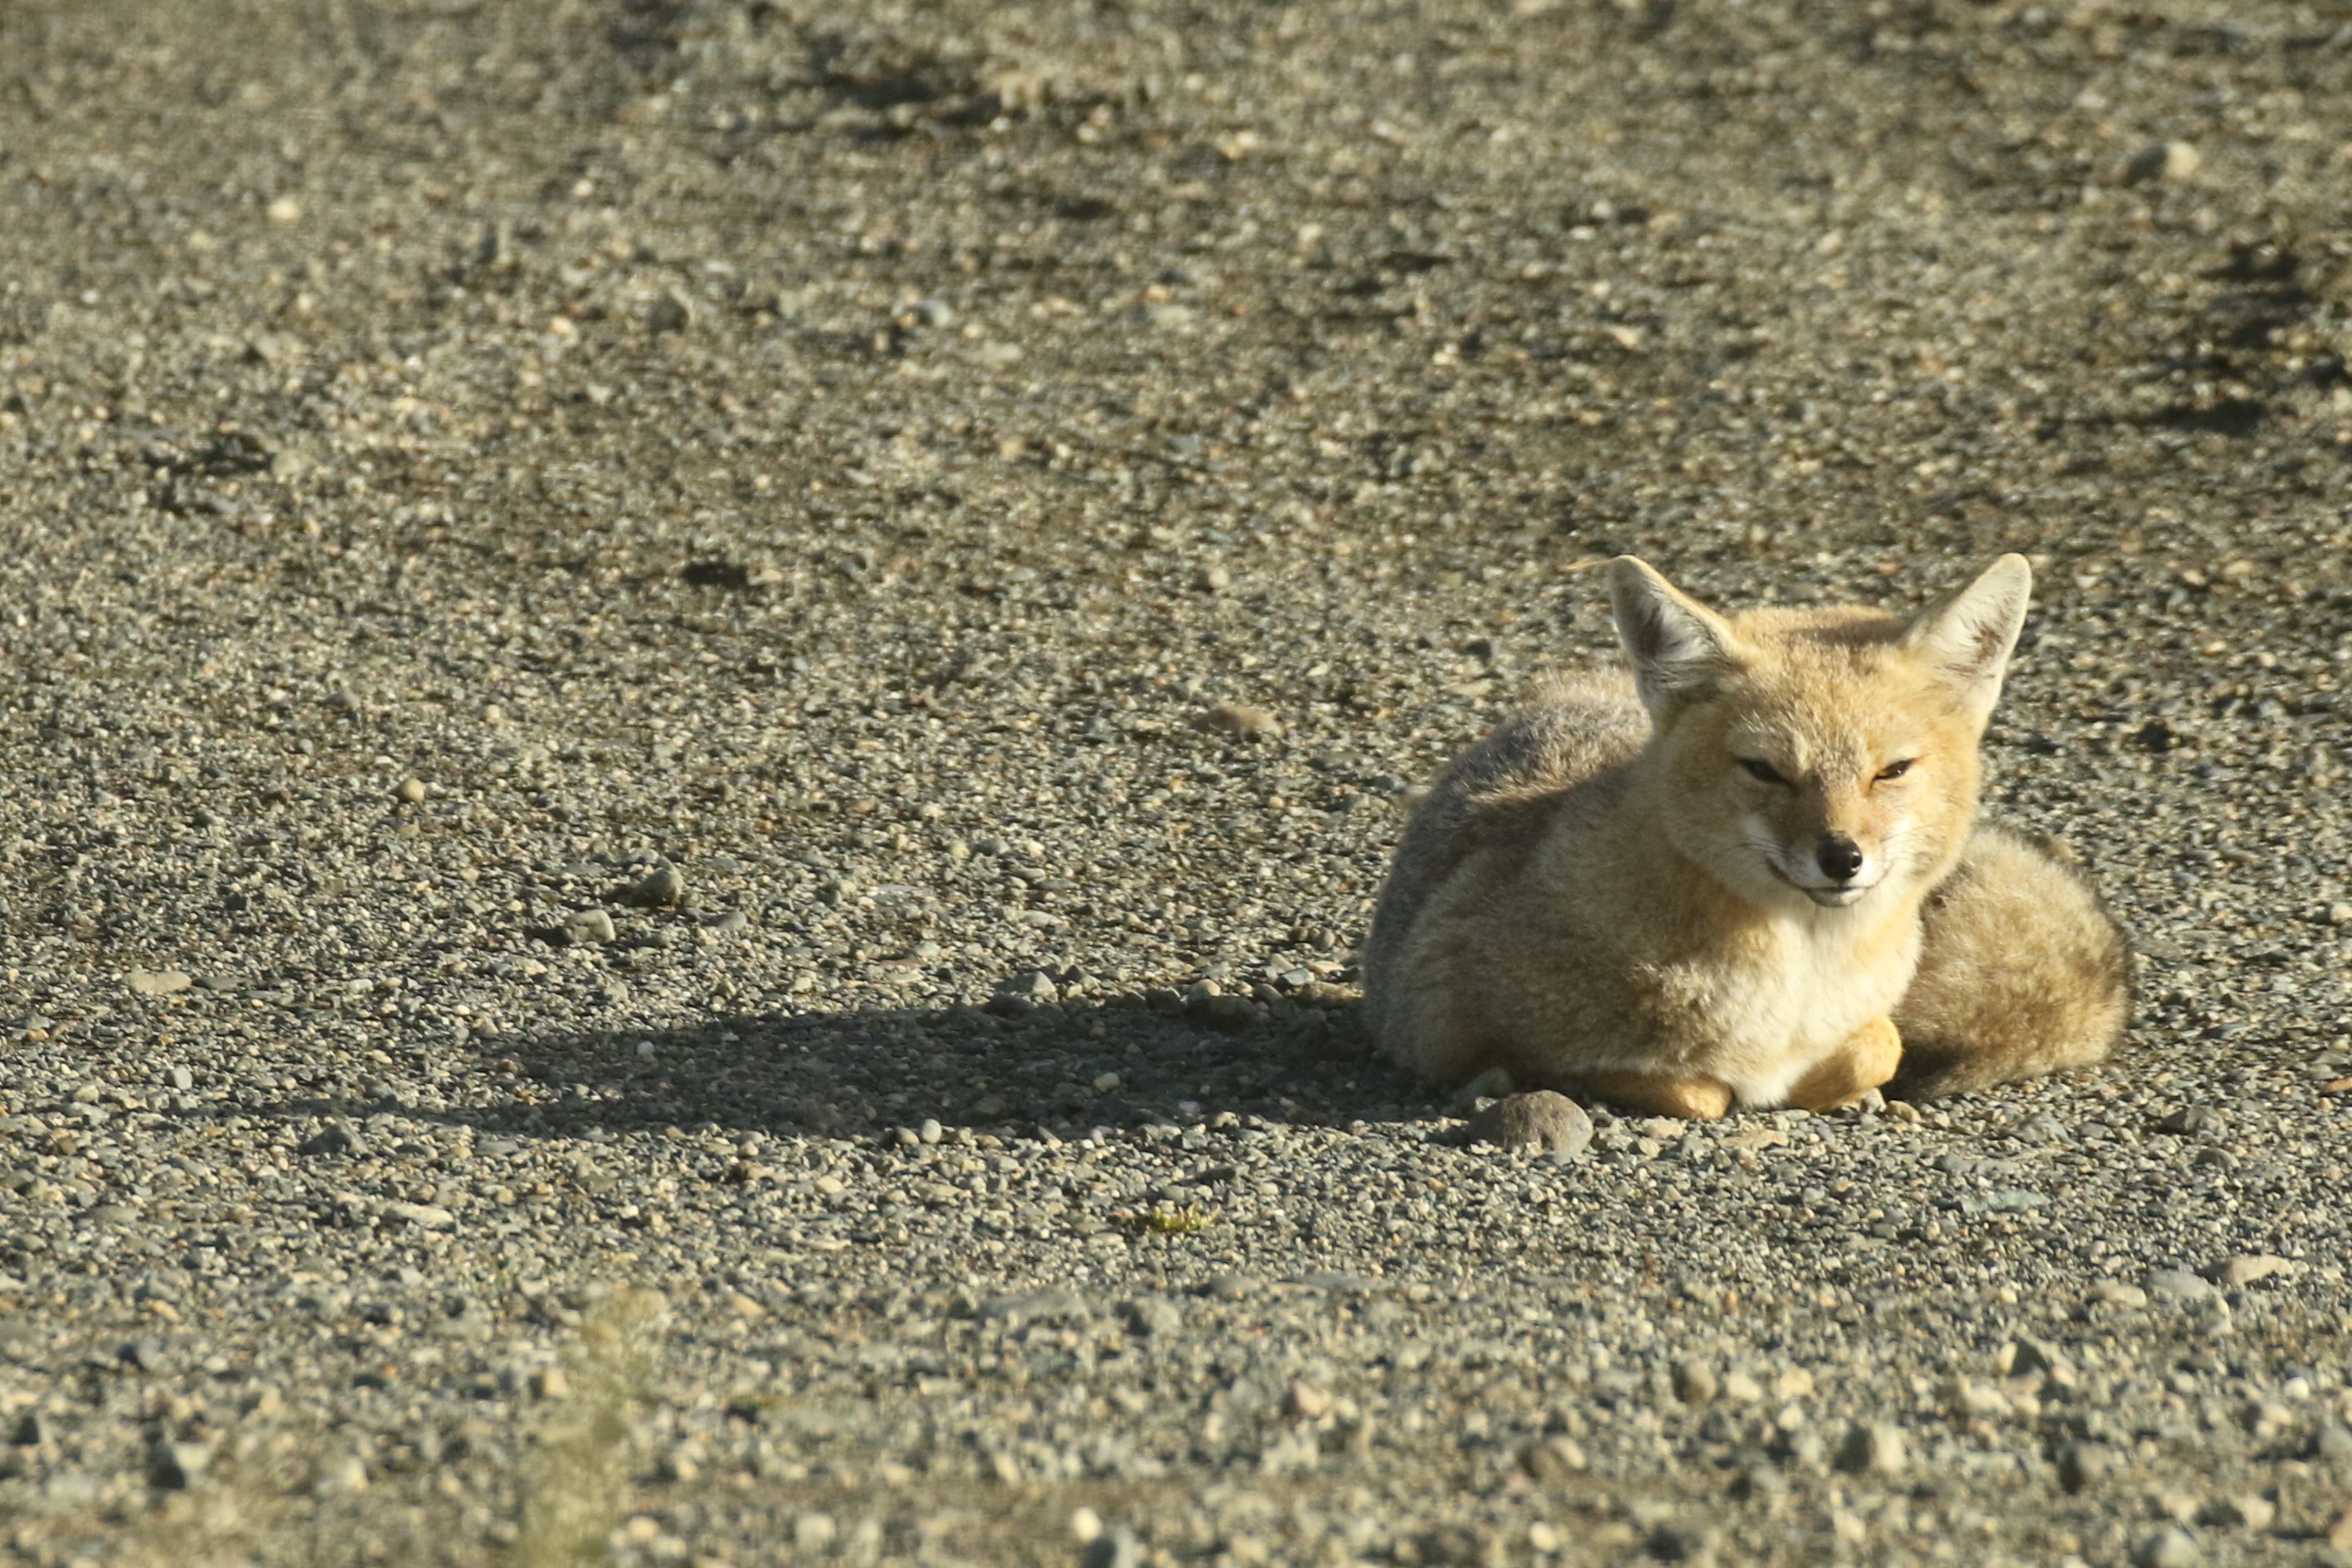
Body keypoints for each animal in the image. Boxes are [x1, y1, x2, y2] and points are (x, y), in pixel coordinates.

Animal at [1360, 554, 2129, 1119]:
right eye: (1767, 770)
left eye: (1891, 771)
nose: (1842, 857)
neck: (1798, 980)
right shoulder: (1434, 1006)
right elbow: (1692, 1087)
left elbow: (1880, 1045)